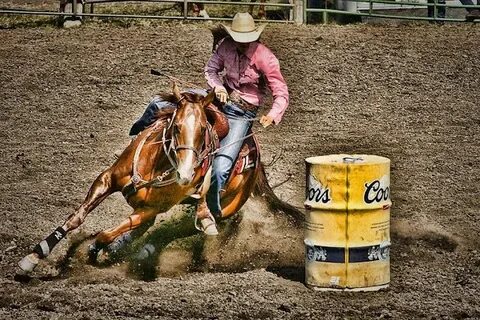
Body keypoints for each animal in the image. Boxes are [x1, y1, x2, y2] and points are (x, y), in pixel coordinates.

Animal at [16, 83, 260, 276]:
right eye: (176, 126)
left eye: (202, 130)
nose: (186, 174)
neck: (154, 166)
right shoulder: (107, 179)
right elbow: (76, 219)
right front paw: (33, 258)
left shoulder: (150, 209)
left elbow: (105, 234)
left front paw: (94, 252)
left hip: (224, 209)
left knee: (178, 229)